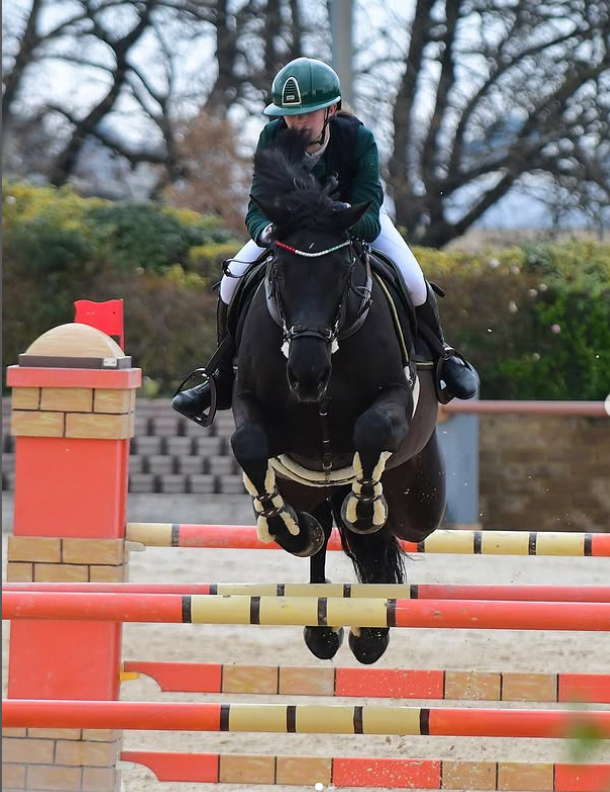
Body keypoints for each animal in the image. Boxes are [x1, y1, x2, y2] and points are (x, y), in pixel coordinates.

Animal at [229, 129, 446, 664]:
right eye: (279, 271)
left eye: (344, 270)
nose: (307, 375)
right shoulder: (248, 401)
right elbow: (249, 445)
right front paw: (284, 526)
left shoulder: (394, 397)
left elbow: (371, 432)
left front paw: (364, 508)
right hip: (305, 486)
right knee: (321, 532)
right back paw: (324, 624)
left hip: (420, 500)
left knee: (390, 533)